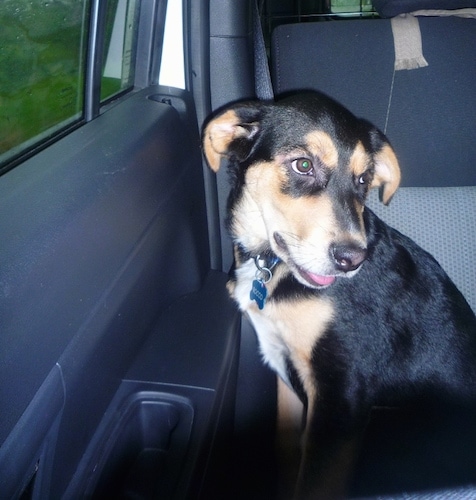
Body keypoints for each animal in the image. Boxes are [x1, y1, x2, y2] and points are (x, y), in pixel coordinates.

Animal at [201, 92, 476, 498]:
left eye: (364, 180)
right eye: (303, 164)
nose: (352, 259)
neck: (274, 266)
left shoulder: (342, 395)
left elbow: (315, 481)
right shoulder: (287, 373)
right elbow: (288, 452)